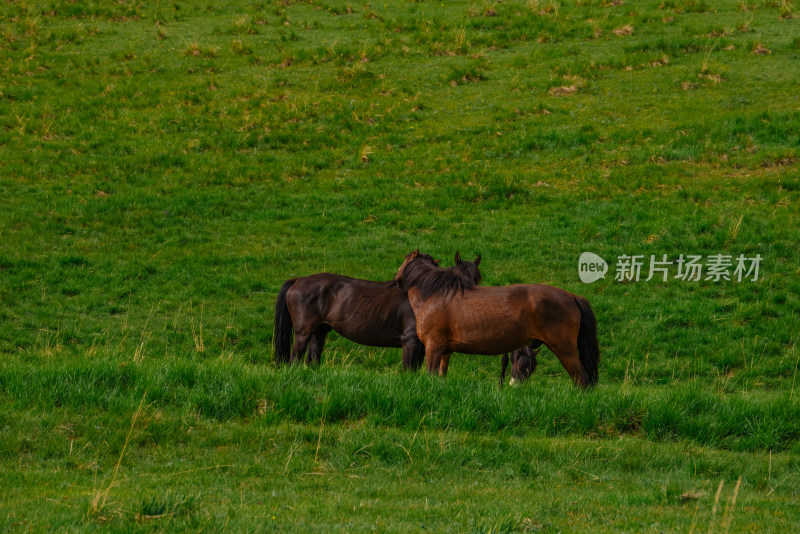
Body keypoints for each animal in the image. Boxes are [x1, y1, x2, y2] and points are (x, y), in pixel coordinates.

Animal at [272, 253, 482, 370]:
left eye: (477, 279)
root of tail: (298, 280)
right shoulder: (410, 342)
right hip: (303, 332)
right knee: (295, 359)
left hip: (319, 331)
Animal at [396, 251, 596, 390]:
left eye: (404, 260)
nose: (397, 278)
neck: (437, 294)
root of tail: (573, 297)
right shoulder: (446, 351)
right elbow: (441, 376)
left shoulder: (434, 347)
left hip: (565, 350)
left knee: (582, 380)